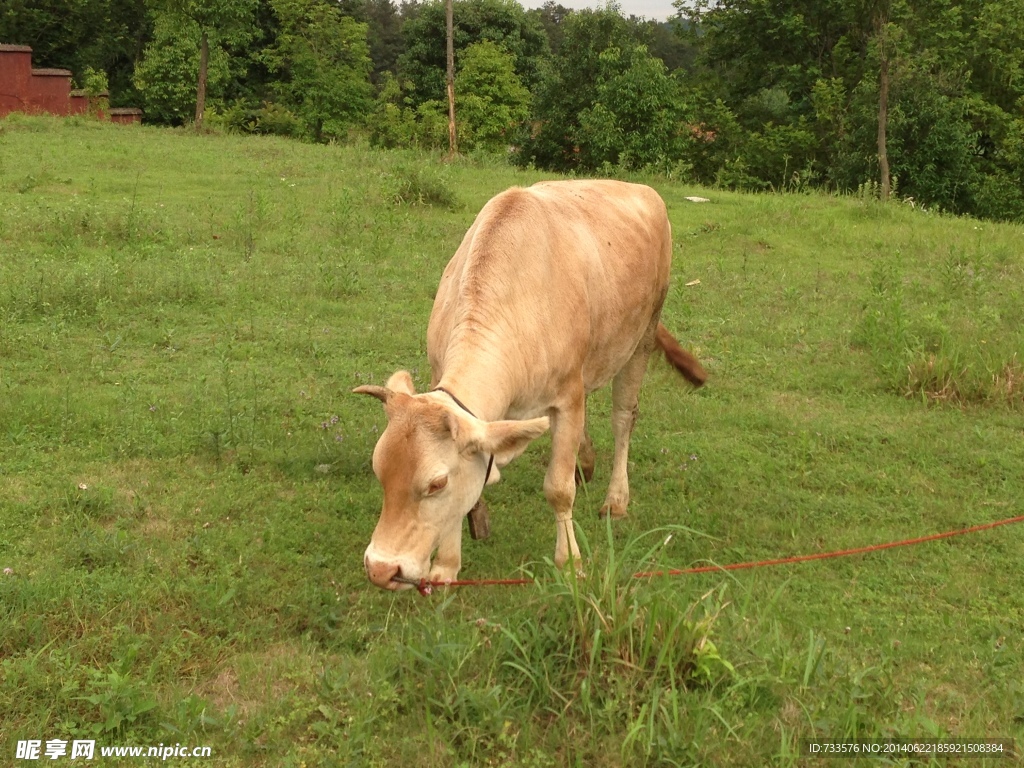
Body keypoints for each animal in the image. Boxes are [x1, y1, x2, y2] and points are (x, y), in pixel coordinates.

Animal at [354, 179, 704, 589]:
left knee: (623, 418)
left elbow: (559, 489)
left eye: (436, 483)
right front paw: (446, 566)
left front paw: (569, 562)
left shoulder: (567, 395)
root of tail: (640, 188)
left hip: (642, 335)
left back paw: (616, 499)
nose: (381, 569)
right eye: (379, 470)